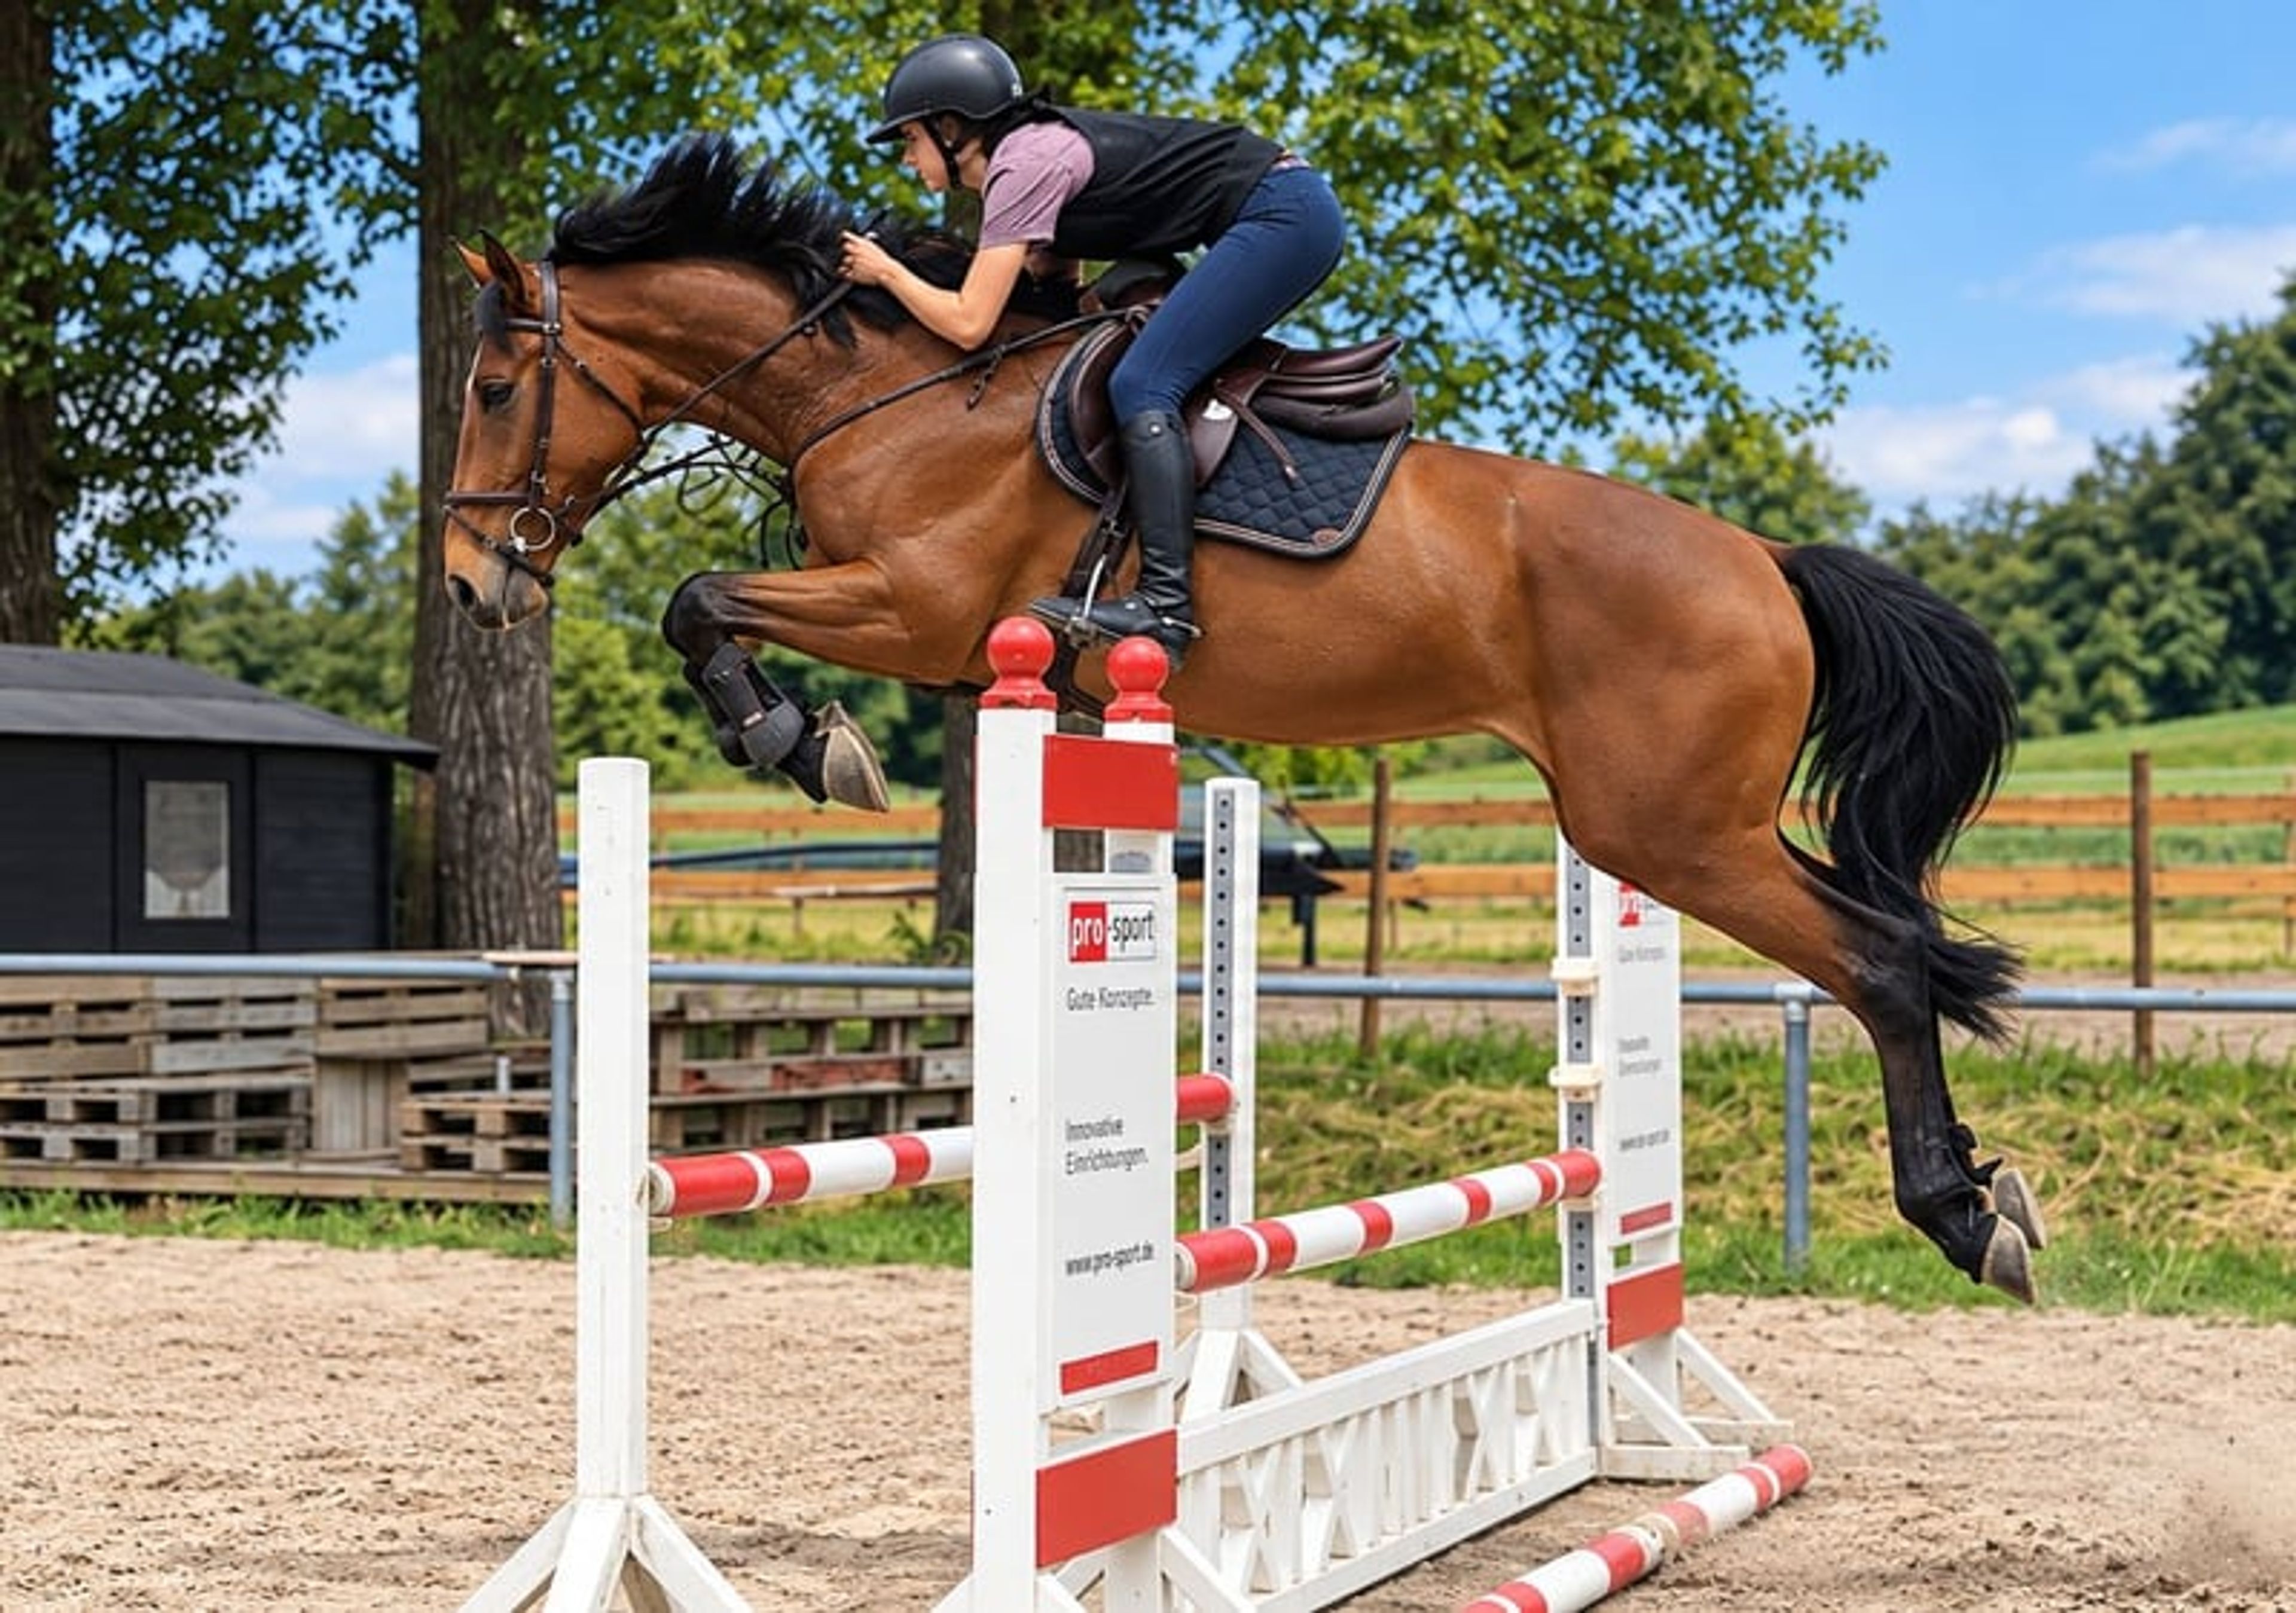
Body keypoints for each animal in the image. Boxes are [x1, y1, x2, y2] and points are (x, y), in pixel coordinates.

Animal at [442, 136, 2045, 1302]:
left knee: (1885, 962)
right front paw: (801, 735)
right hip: (1675, 824)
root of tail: (1764, 561)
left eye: (499, 384)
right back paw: (1980, 1195)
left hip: (1667, 826)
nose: (471, 582)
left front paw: (798, 742)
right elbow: (711, 605)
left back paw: (1965, 1216)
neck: (891, 390)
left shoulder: (918, 611)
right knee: (1894, 950)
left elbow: (699, 599)